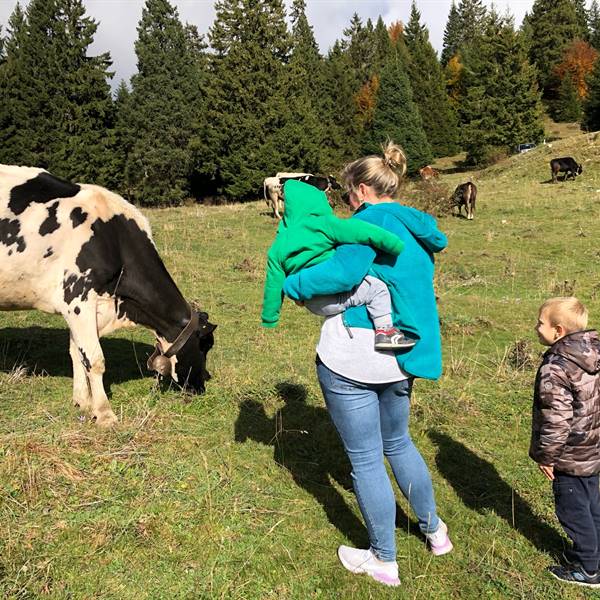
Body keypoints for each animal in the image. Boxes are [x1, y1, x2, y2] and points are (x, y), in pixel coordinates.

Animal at [0, 164, 216, 426]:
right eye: (205, 345)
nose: (200, 386)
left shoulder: (82, 307)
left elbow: (77, 353)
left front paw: (82, 401)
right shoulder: (78, 298)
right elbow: (94, 359)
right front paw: (104, 414)